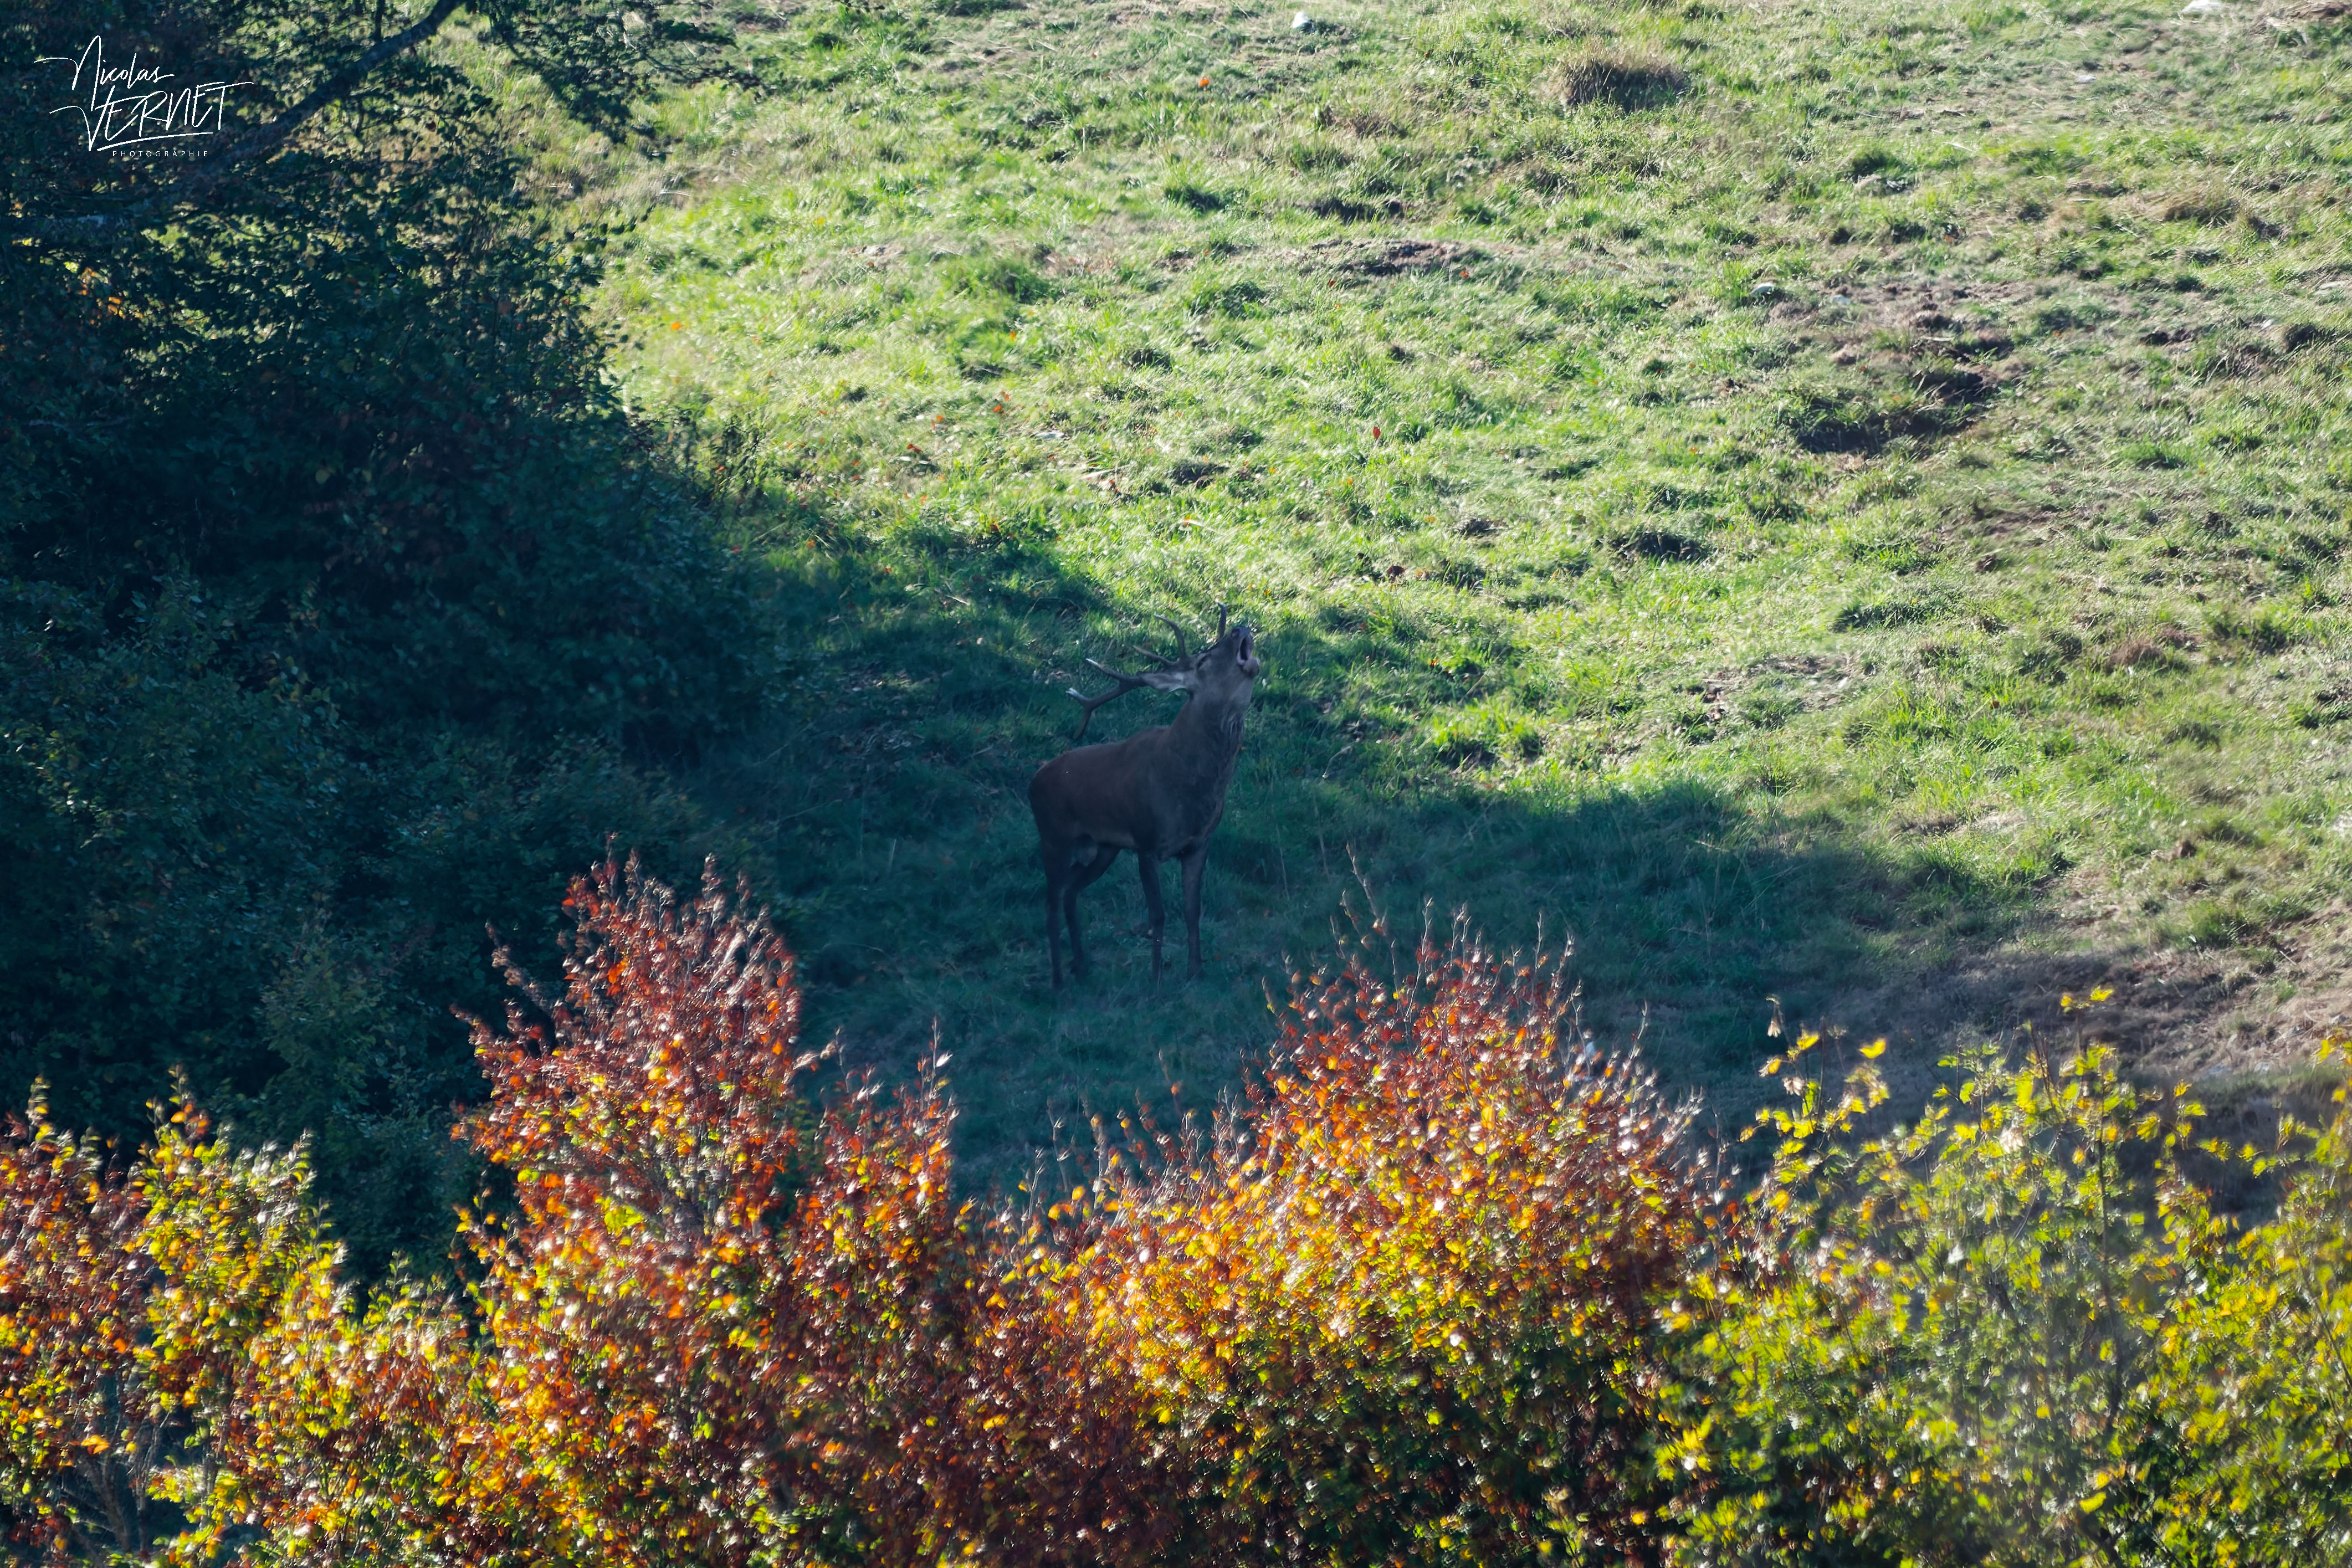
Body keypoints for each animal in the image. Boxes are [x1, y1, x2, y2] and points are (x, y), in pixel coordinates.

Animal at [1029, 610, 1262, 990]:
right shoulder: (1146, 841)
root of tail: (1033, 781)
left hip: (1102, 848)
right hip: (1053, 836)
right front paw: (1156, 982)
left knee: (1071, 891)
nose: (1240, 628)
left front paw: (1196, 973)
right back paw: (1058, 980)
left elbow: (1192, 909)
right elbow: (1158, 914)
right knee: (1050, 901)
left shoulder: (1199, 845)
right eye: (1203, 660)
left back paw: (1083, 965)